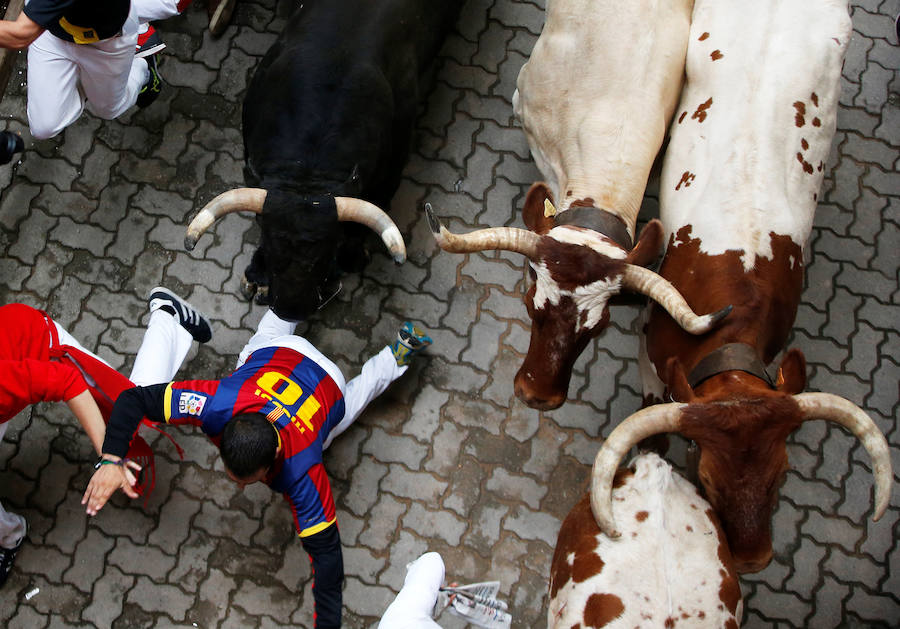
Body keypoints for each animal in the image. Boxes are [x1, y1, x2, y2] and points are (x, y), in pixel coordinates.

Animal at [188, 0, 464, 322]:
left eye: (329, 247)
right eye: (268, 240)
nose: (291, 309)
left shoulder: (392, 167)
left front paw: (353, 256)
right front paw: (258, 276)